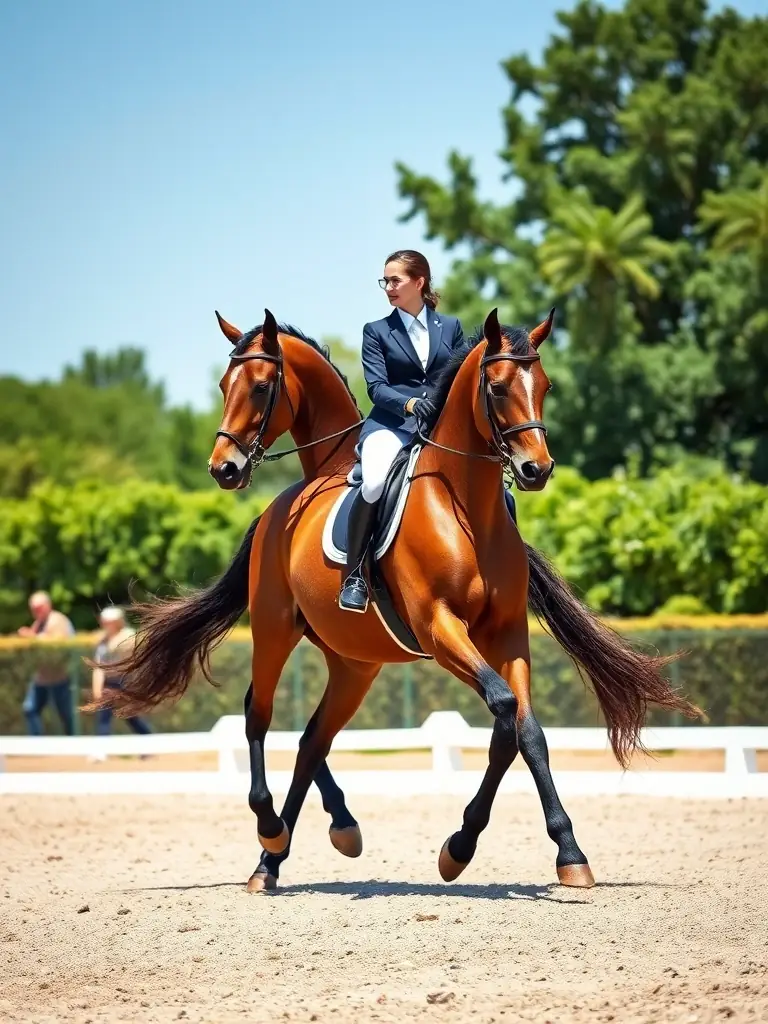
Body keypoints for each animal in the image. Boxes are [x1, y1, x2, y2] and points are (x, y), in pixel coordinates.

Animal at [100, 307, 700, 893]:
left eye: (544, 385)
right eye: (497, 387)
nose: (536, 470)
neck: (467, 506)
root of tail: (277, 511)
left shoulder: (507, 633)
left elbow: (523, 731)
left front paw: (562, 853)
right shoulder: (438, 628)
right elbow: (505, 708)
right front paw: (462, 848)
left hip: (353, 665)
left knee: (312, 738)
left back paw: (284, 854)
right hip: (274, 630)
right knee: (258, 714)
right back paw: (270, 833)